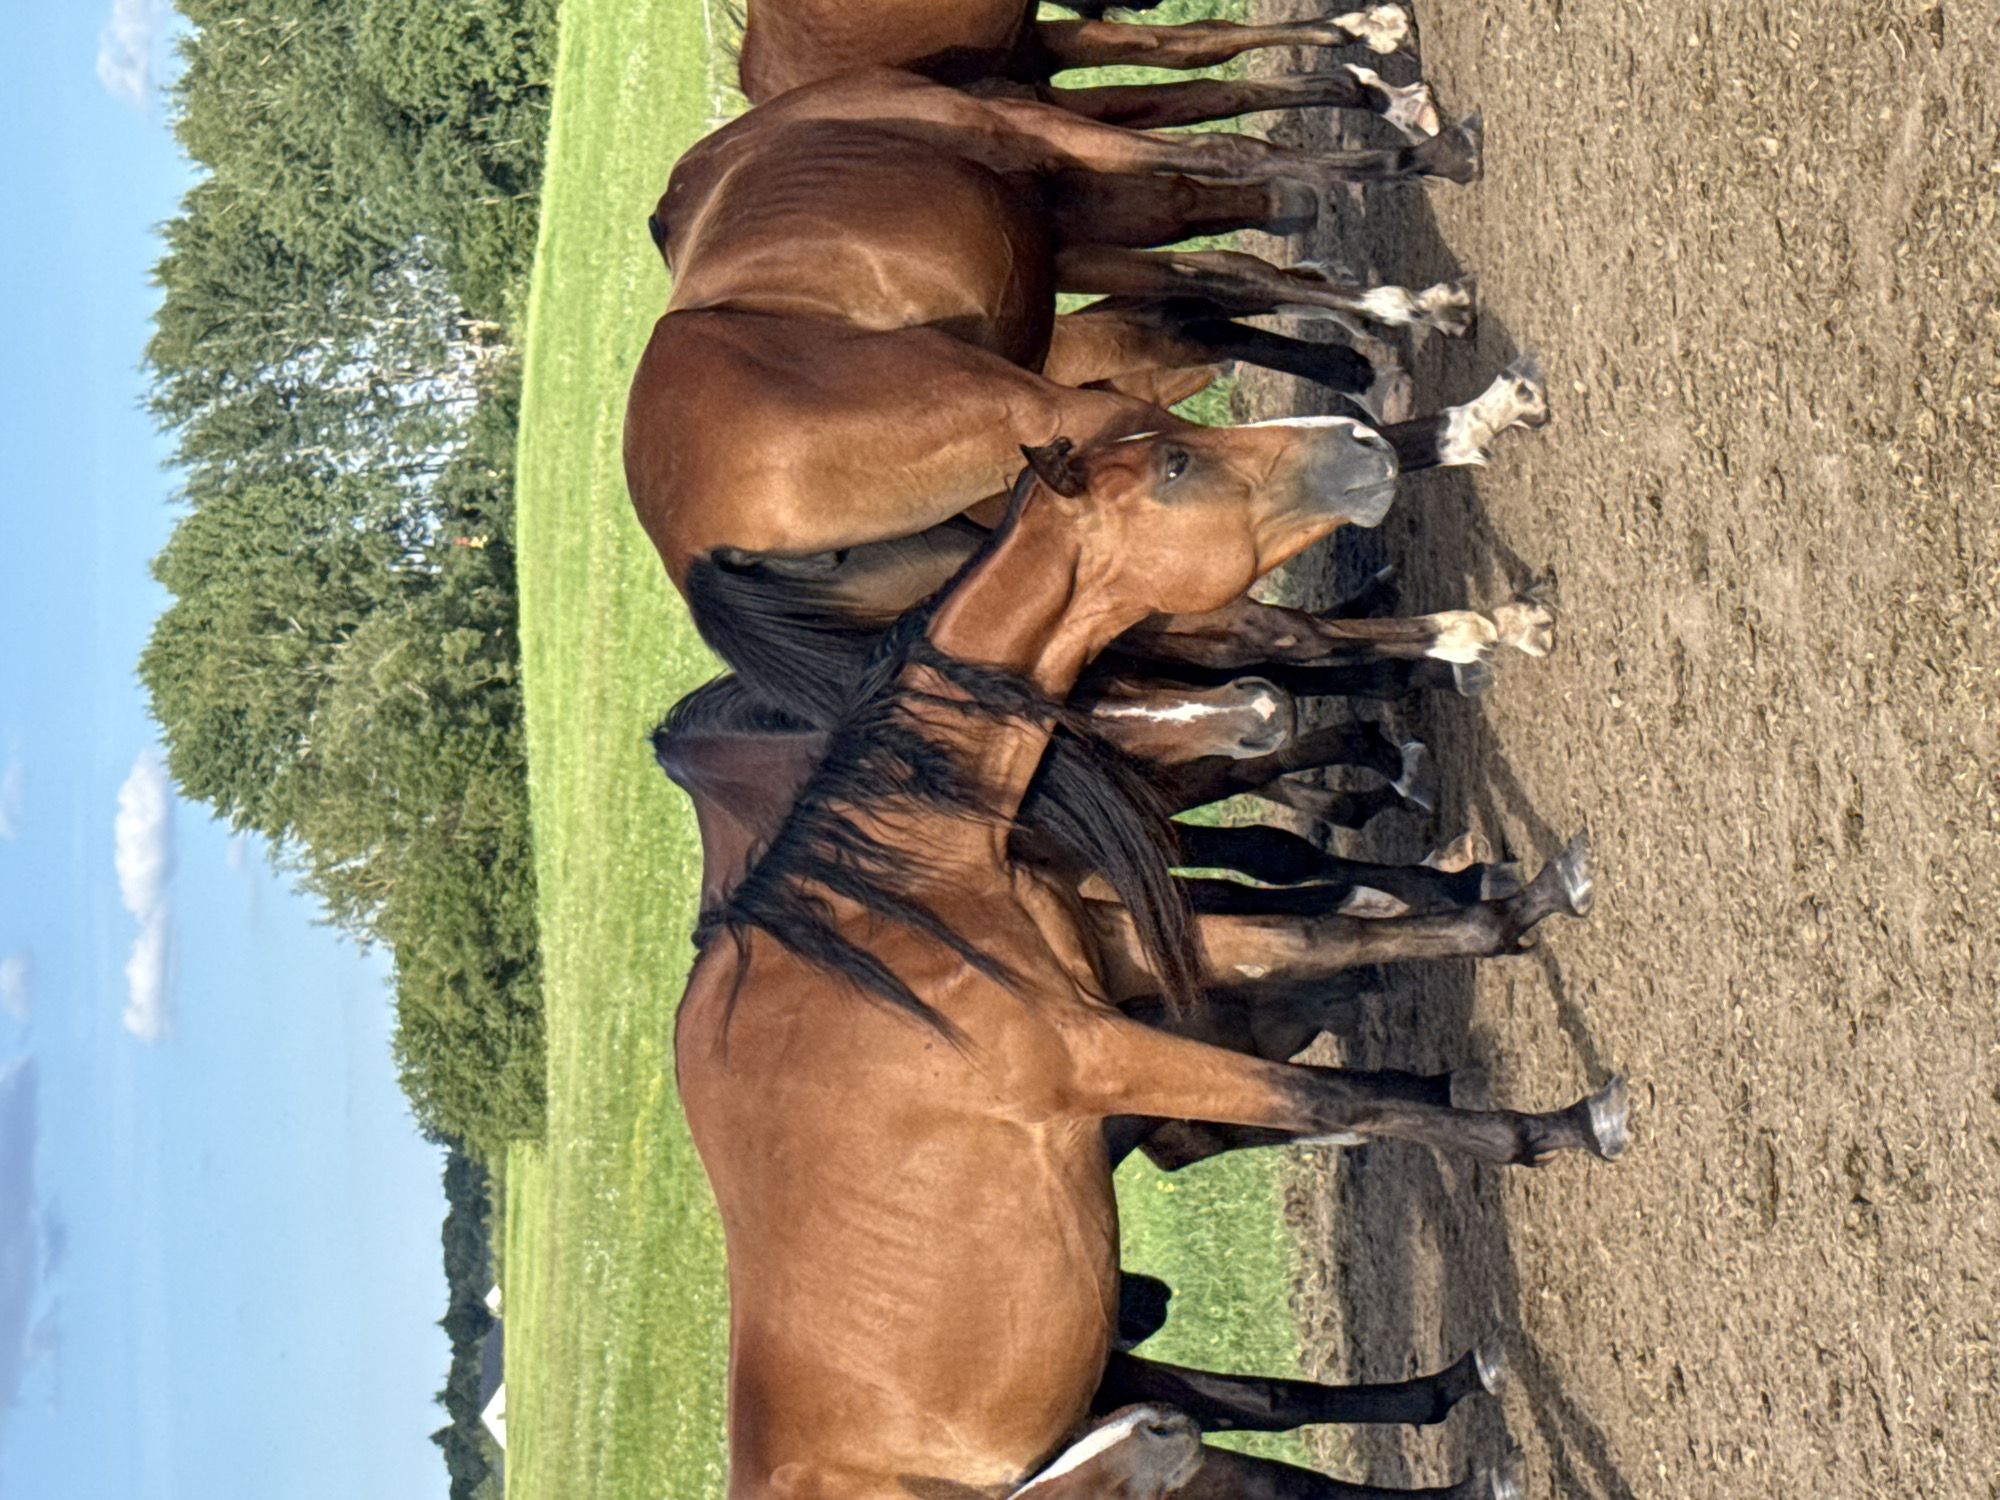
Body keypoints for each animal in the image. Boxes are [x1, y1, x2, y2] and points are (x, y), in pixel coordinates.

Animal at [675, 425, 1625, 1500]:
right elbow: (1326, 1097)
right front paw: (1546, 1127)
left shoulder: (1122, 953)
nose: (1358, 440)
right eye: (1175, 466)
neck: (902, 899)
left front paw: (1517, 906)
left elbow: (1324, 936)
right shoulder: (1097, 1055)